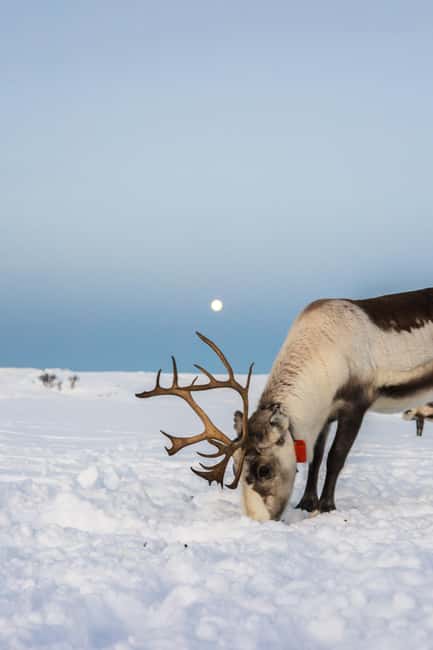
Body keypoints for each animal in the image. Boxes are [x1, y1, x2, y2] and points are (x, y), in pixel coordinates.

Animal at [136, 287, 433, 522]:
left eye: (264, 469)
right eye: (235, 465)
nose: (258, 521)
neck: (326, 352)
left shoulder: (355, 405)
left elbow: (335, 457)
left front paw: (326, 507)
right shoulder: (323, 414)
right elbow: (315, 457)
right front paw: (306, 503)